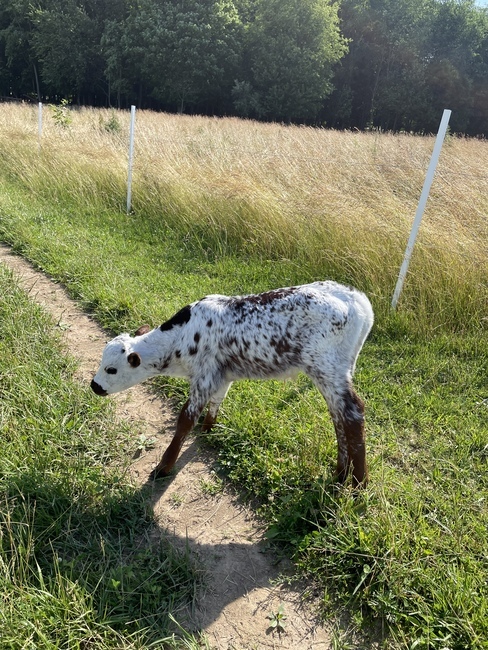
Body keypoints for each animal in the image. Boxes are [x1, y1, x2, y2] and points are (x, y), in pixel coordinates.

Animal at [91, 280, 374, 484]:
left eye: (111, 369)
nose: (94, 386)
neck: (180, 338)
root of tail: (357, 299)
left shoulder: (204, 374)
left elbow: (184, 420)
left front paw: (164, 466)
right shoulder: (222, 374)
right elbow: (217, 400)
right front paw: (208, 430)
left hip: (326, 366)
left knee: (353, 413)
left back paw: (359, 483)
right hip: (337, 369)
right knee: (338, 416)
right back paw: (341, 473)